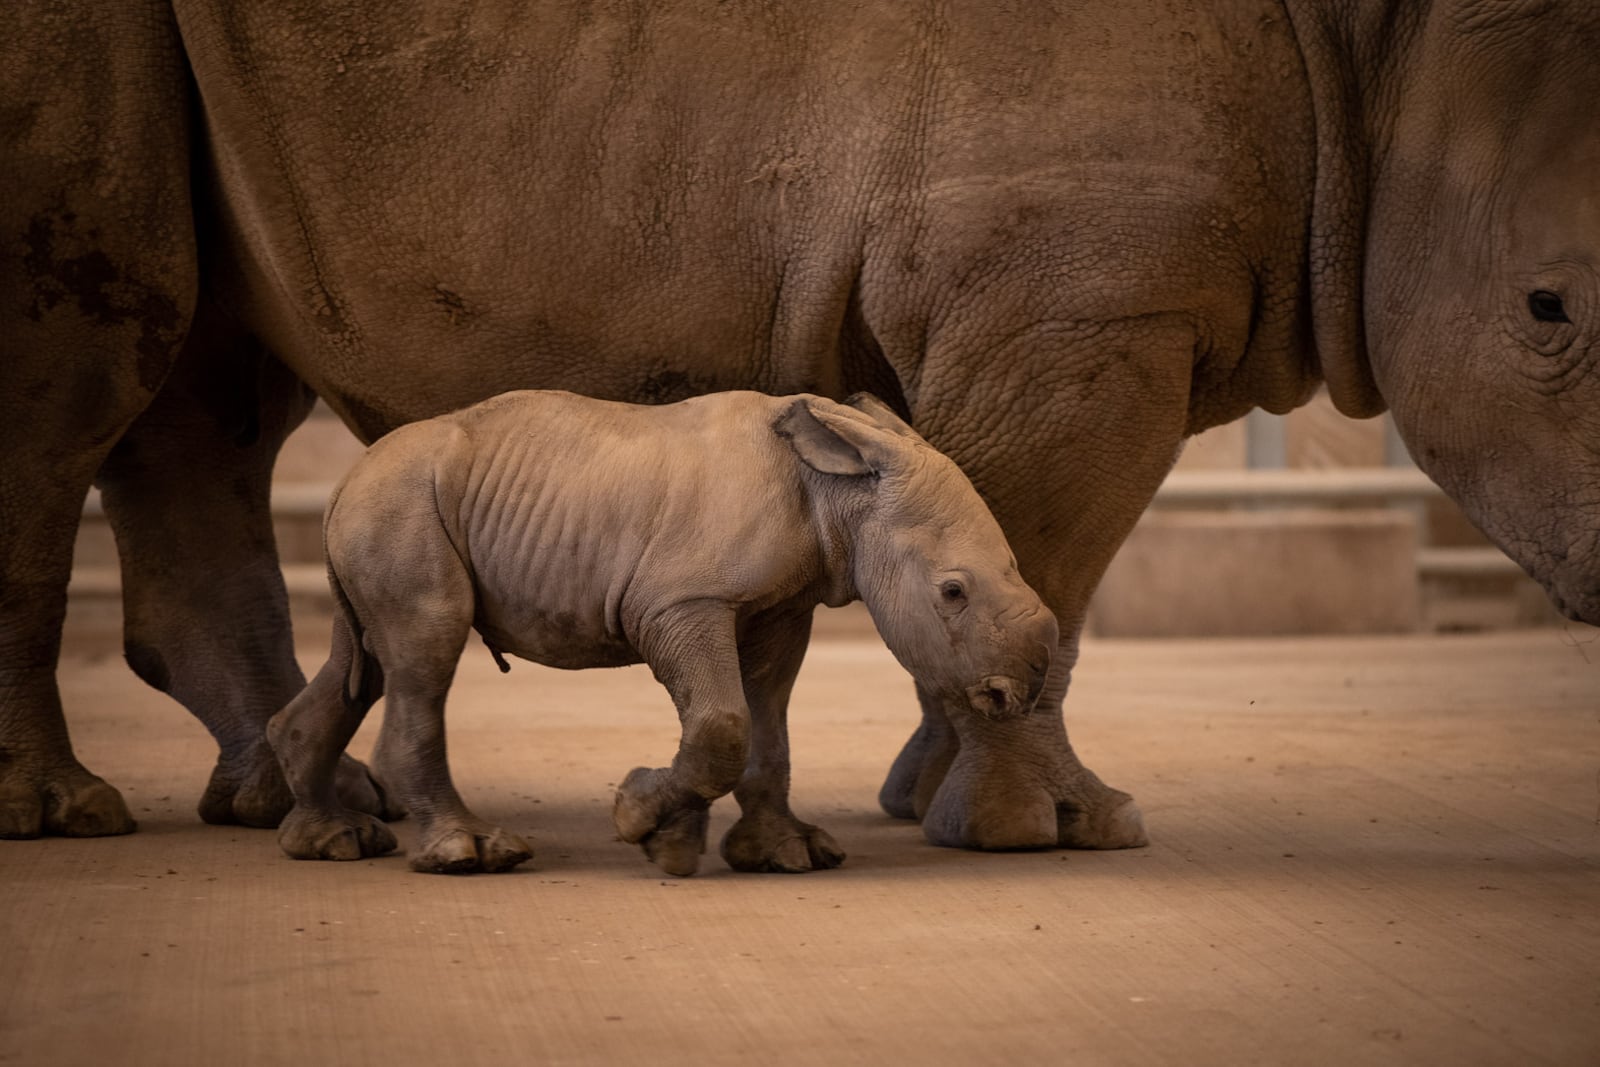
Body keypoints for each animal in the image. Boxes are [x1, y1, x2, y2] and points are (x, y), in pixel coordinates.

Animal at [268, 391, 1056, 876]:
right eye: (953, 592)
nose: (1016, 690)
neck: (842, 492)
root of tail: (343, 478)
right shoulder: (680, 599)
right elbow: (722, 724)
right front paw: (641, 822)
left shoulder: (779, 609)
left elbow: (766, 723)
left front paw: (782, 853)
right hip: (401, 502)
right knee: (423, 651)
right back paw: (471, 854)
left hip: (390, 505)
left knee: (366, 663)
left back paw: (333, 842)